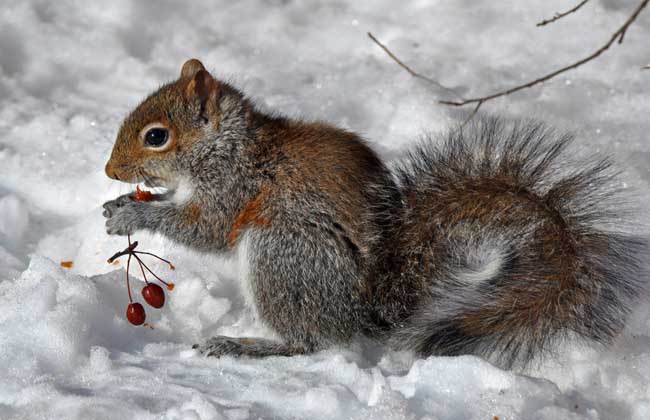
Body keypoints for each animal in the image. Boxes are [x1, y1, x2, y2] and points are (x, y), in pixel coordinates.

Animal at [101, 58, 644, 368]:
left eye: (156, 136)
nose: (109, 170)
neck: (226, 146)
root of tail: (364, 311)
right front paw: (119, 205)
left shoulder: (234, 188)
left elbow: (205, 229)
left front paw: (133, 216)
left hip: (283, 250)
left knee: (309, 341)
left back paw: (247, 345)